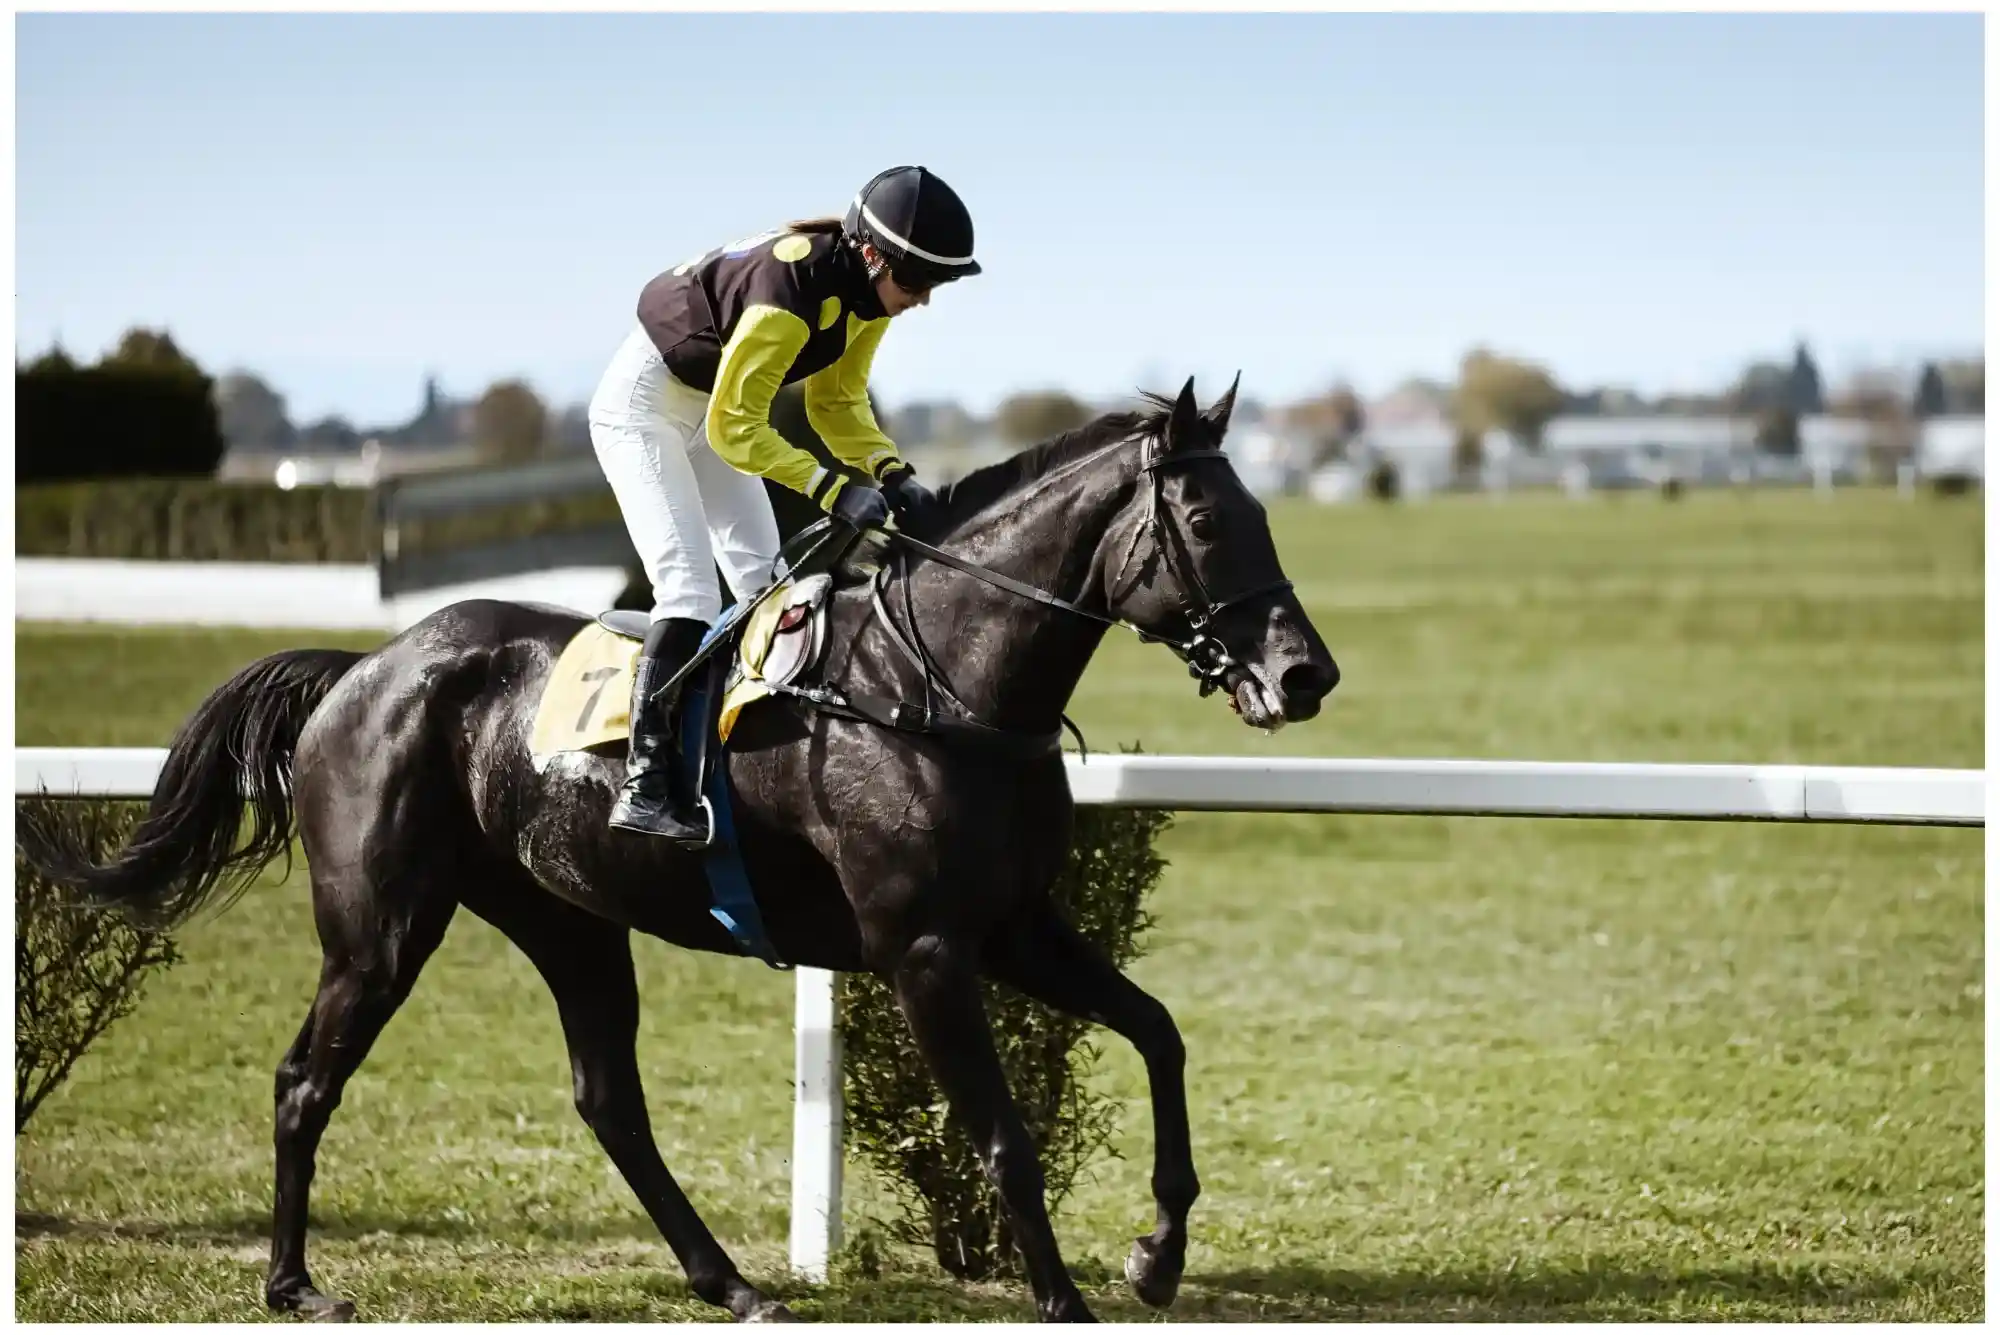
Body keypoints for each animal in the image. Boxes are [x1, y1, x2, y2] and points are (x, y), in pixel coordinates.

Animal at [22, 376, 1339, 1323]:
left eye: (1265, 514)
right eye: (1207, 520)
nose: (1303, 675)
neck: (940, 688)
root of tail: (363, 668)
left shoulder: (1015, 928)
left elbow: (1158, 1033)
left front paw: (1156, 1252)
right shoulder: (924, 949)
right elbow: (1006, 1138)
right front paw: (1066, 1298)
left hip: (566, 919)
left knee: (607, 1097)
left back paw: (729, 1280)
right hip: (380, 929)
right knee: (307, 1080)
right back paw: (293, 1283)